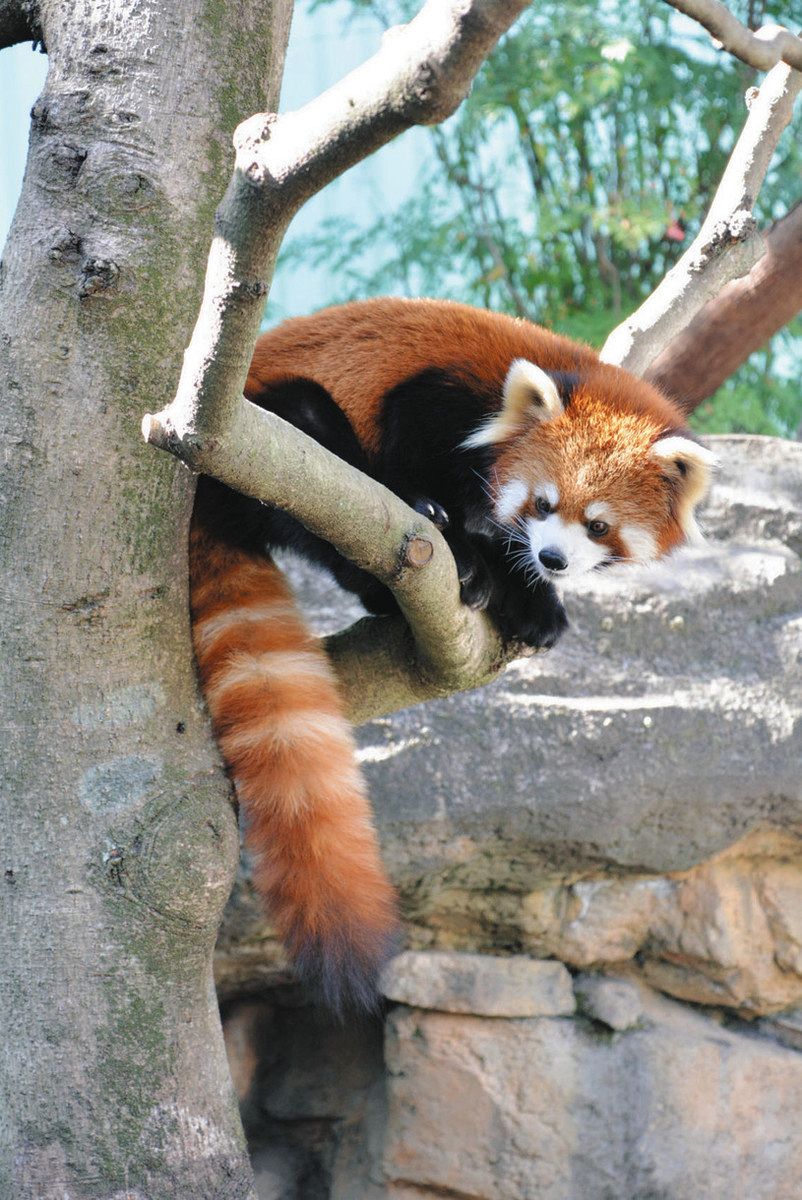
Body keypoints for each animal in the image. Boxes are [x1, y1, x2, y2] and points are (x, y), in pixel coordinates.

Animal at [190, 297, 715, 1012]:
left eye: (599, 525)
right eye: (544, 503)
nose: (554, 557)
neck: (573, 373)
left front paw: (532, 598)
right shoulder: (438, 393)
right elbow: (417, 445)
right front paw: (478, 555)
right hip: (266, 442)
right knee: (312, 442)